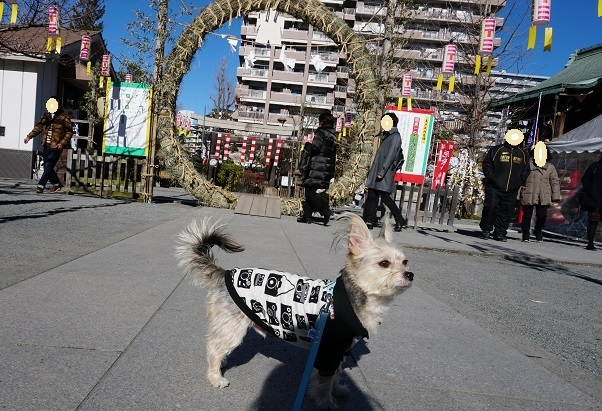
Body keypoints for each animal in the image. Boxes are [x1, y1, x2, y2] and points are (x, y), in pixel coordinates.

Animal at [176, 214, 410, 410]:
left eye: (405, 261)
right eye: (384, 263)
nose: (410, 274)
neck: (352, 298)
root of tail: (223, 273)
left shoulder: (339, 351)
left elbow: (336, 375)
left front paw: (338, 390)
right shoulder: (328, 351)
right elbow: (325, 383)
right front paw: (327, 404)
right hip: (232, 329)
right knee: (214, 350)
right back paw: (215, 377)